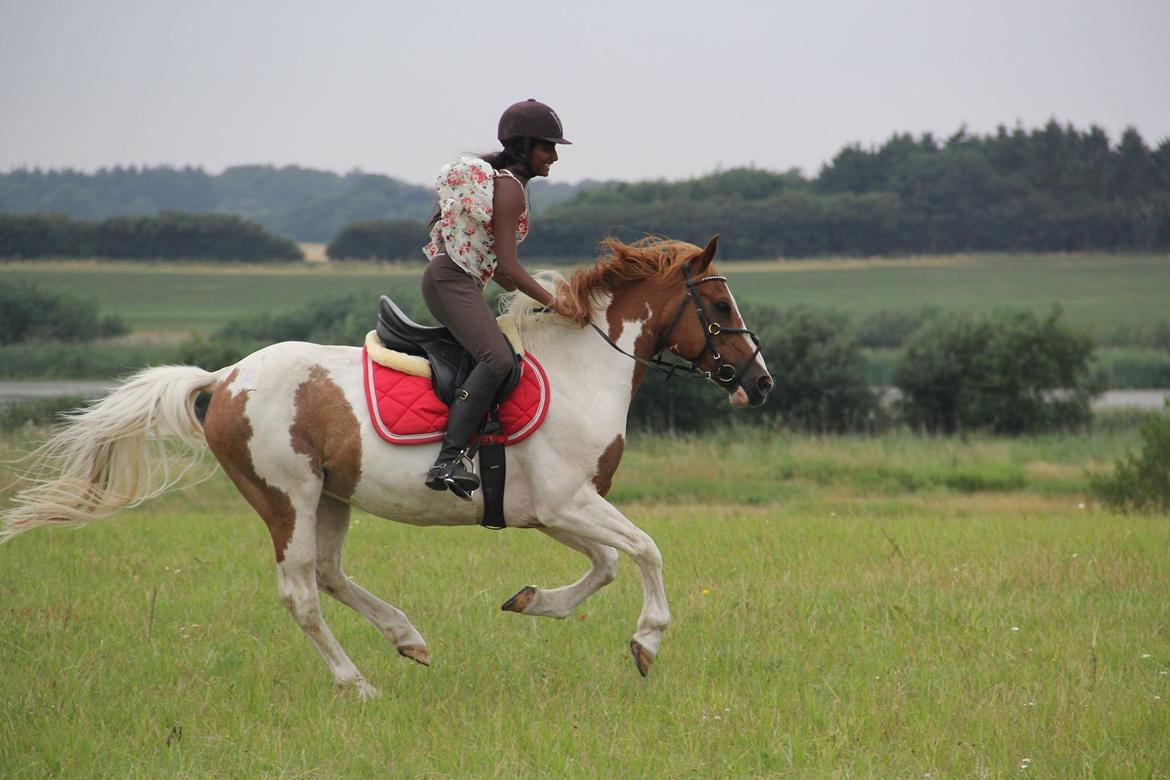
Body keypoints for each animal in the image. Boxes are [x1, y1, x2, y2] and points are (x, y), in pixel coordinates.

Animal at [2, 235, 776, 696]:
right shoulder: (566, 502)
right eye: (716, 301)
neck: (583, 367)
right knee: (301, 592)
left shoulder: (551, 510)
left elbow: (608, 564)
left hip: (332, 497)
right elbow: (646, 551)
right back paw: (357, 684)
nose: (760, 382)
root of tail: (223, 379)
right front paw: (646, 642)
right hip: (286, 497)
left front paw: (532, 602)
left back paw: (409, 639)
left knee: (329, 574)